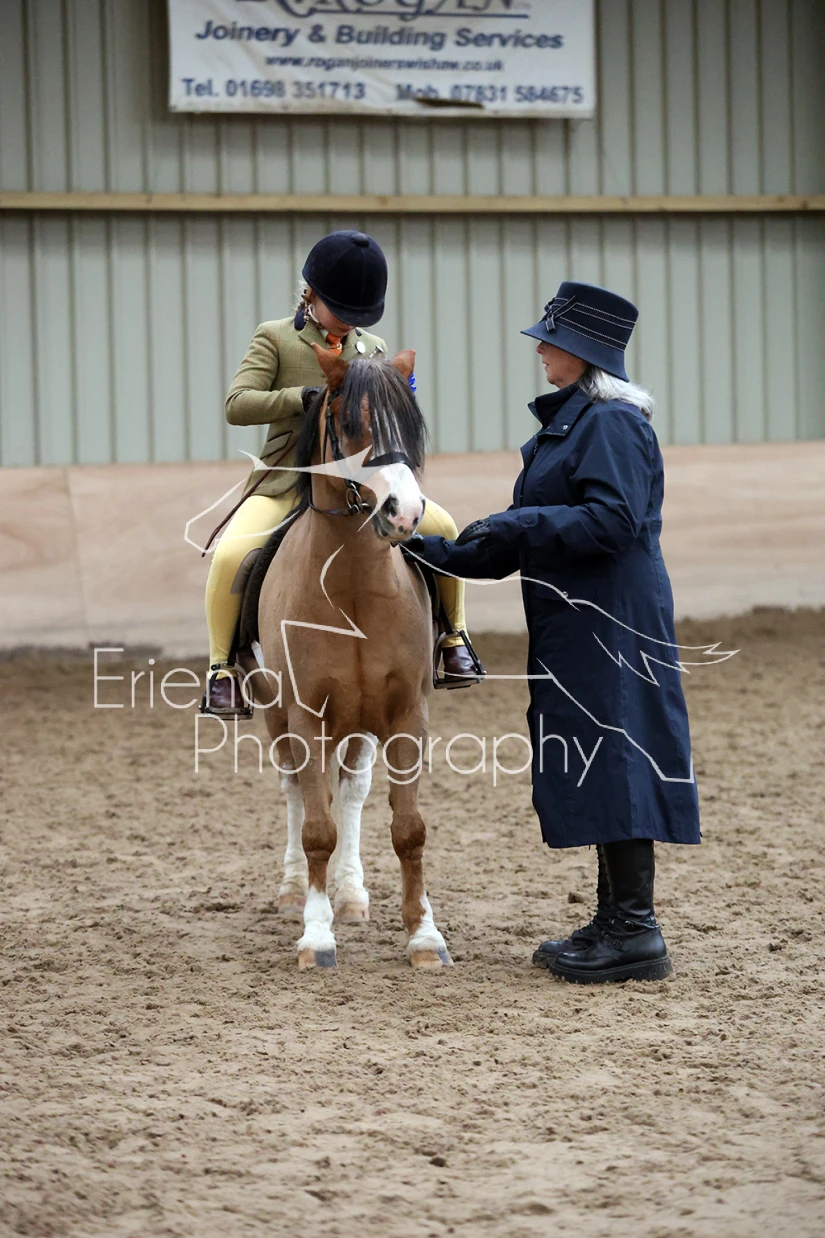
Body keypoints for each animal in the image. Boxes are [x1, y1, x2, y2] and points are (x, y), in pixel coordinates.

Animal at [238, 343, 452, 971]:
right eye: (352, 426)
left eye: (410, 422)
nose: (405, 512)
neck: (353, 585)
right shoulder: (306, 715)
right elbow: (316, 830)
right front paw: (316, 935)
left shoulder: (407, 714)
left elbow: (408, 829)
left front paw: (424, 936)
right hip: (277, 711)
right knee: (294, 790)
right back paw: (293, 892)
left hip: (360, 718)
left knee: (353, 794)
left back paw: (353, 895)